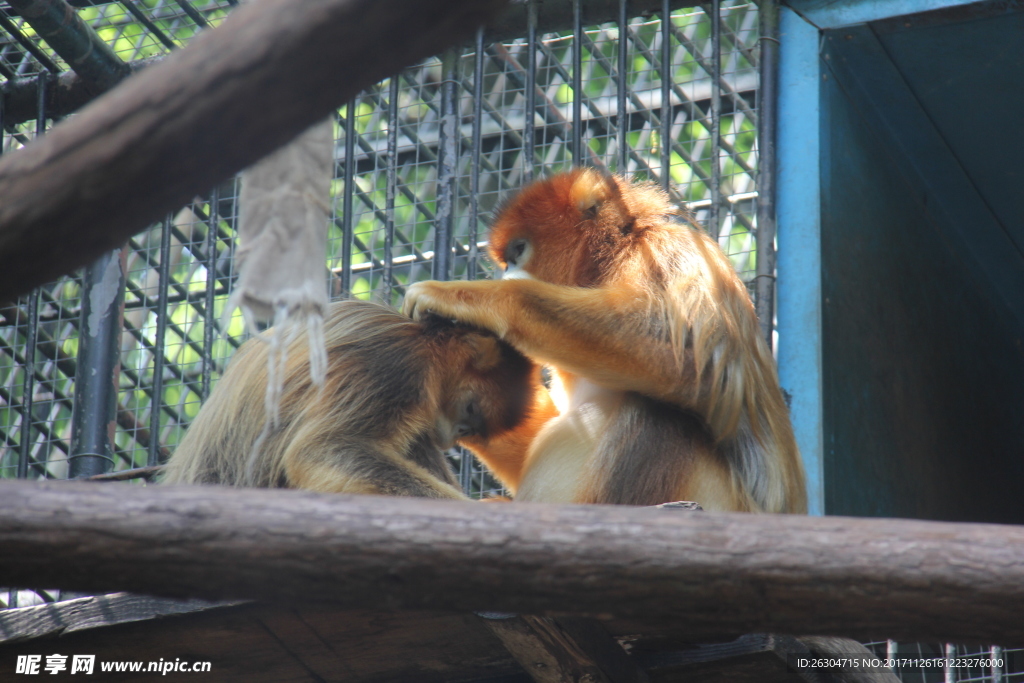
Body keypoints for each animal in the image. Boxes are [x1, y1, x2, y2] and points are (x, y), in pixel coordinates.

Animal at [162, 301, 557, 499]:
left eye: (473, 427)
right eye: (470, 409)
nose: (455, 435)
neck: (418, 337)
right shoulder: (397, 368)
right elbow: (319, 449)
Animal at [403, 169, 802, 511]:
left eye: (518, 251)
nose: (504, 274)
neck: (615, 256)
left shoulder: (669, 251)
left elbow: (692, 365)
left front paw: (470, 297)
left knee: (662, 409)